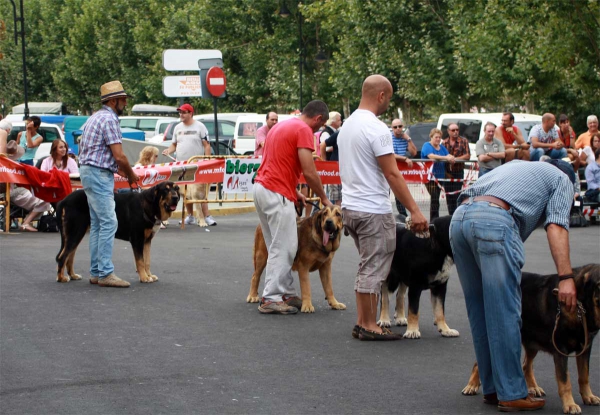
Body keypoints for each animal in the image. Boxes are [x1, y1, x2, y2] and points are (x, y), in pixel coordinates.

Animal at [464, 264, 600, 414]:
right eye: (599, 284)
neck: (580, 306)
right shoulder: (560, 349)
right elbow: (565, 381)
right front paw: (570, 404)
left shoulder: (585, 349)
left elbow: (584, 376)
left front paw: (588, 396)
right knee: (479, 362)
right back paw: (471, 385)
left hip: (532, 343)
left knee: (526, 365)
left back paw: (534, 388)